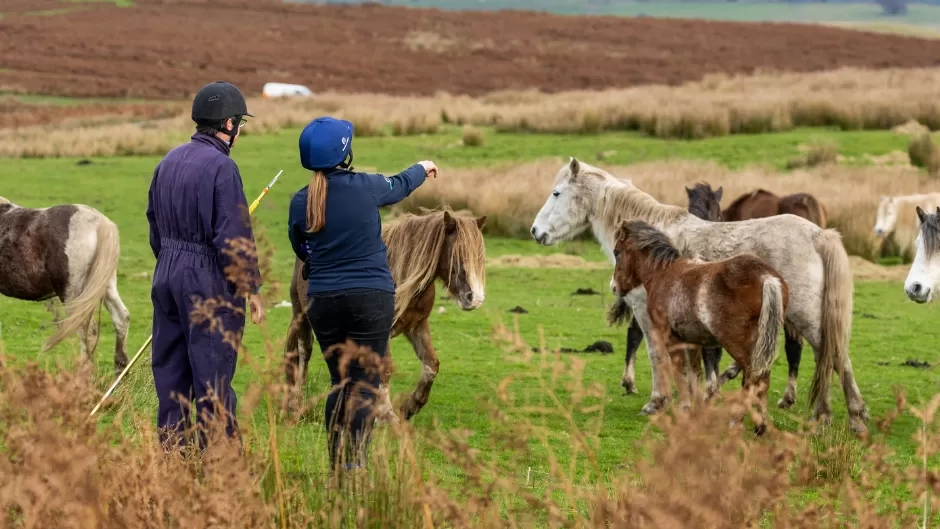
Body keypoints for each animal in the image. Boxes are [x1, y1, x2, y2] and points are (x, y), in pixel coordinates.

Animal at [284, 208, 487, 423]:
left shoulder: (418, 326)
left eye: (480, 258)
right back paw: (296, 404)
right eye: (458, 256)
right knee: (303, 355)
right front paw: (386, 414)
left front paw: (411, 406)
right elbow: (385, 368)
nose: (475, 298)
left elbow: (431, 366)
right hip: (302, 317)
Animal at [610, 220, 788, 434]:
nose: (614, 287)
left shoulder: (671, 339)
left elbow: (681, 373)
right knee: (761, 379)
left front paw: (685, 410)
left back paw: (737, 422)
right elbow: (695, 376)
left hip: (739, 344)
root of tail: (767, 278)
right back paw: (760, 426)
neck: (664, 274)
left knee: (754, 377)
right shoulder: (693, 341)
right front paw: (698, 411)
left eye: (617, 252)